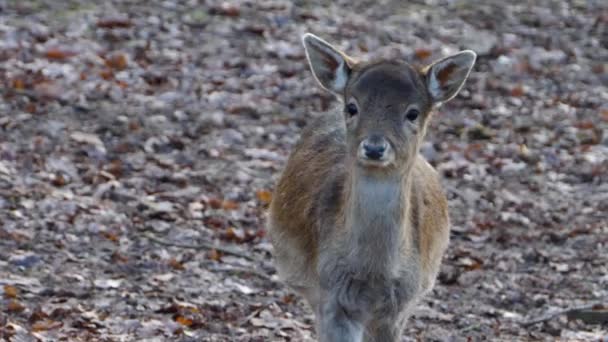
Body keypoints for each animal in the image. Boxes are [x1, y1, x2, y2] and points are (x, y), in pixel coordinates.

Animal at [270, 32, 476, 342]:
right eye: (353, 107)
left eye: (413, 113)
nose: (375, 147)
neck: (373, 276)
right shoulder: (332, 297)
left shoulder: (399, 306)